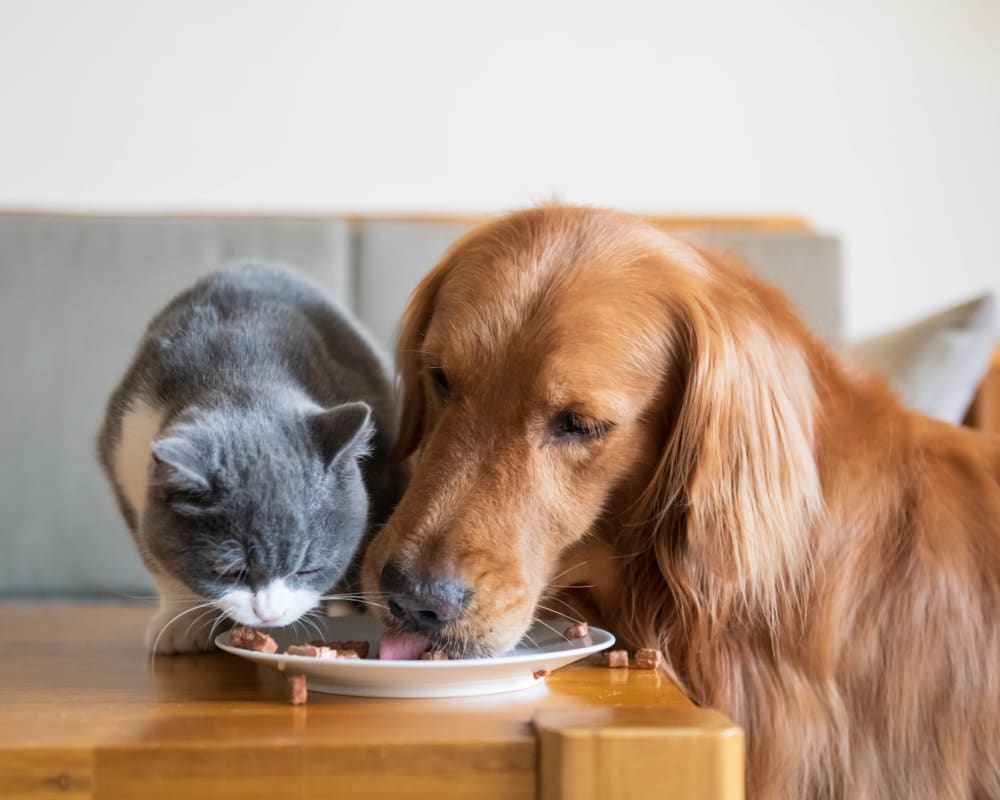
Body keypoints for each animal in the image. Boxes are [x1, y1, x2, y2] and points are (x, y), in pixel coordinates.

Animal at [94, 266, 406, 652]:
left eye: (308, 568)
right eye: (229, 571)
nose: (269, 615)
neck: (235, 369)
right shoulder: (126, 451)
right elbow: (157, 556)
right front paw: (181, 622)